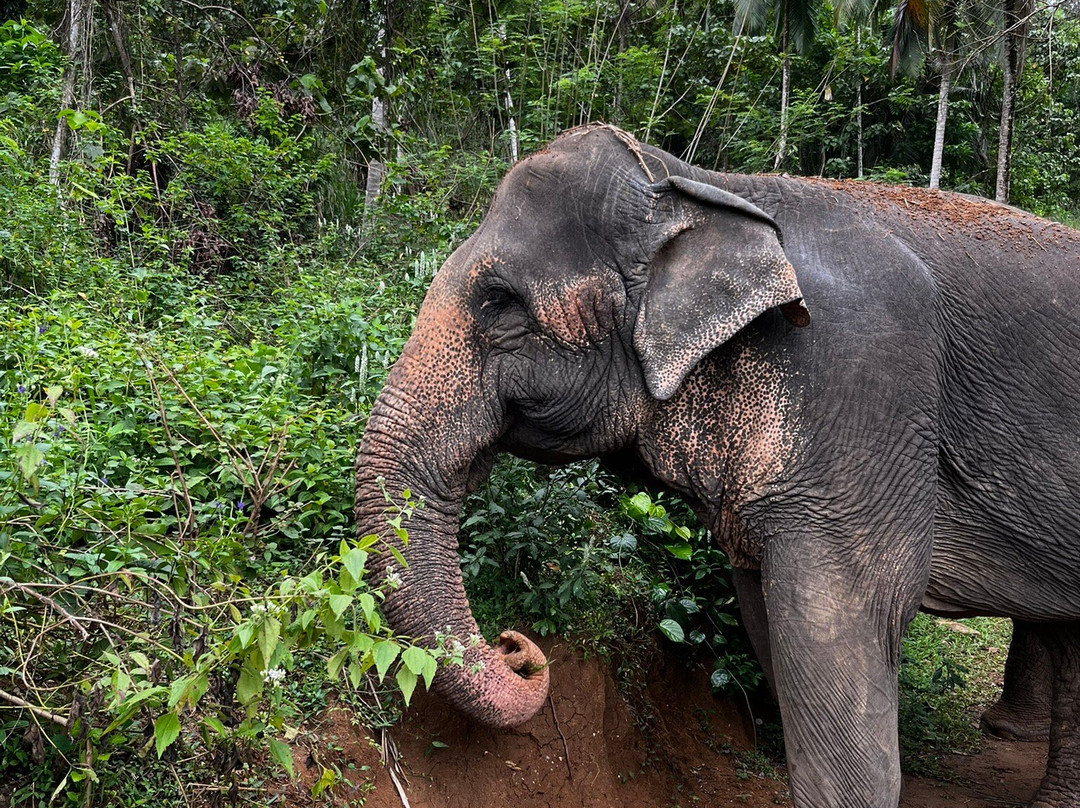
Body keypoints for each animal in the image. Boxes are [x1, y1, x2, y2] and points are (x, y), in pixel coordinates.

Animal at [354, 124, 1080, 808]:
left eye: (499, 301)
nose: (516, 644)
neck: (703, 186)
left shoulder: (864, 393)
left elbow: (839, 625)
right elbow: (768, 622)